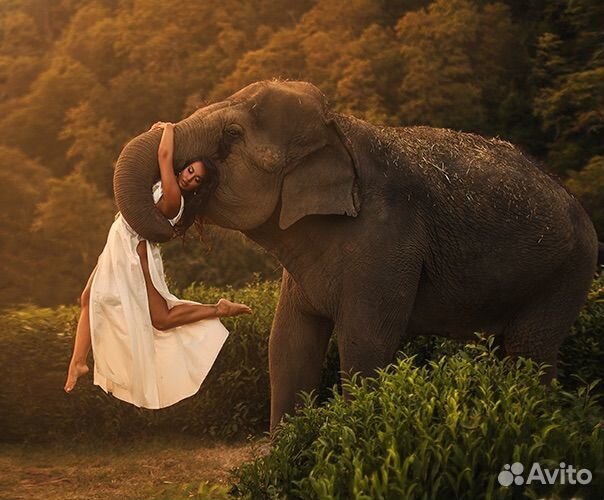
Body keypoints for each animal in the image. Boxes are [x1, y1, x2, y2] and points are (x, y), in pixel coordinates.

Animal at [112, 80, 600, 432]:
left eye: (232, 136)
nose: (175, 204)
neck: (339, 128)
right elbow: (287, 343)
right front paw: (287, 451)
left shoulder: (388, 242)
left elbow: (365, 343)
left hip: (568, 274)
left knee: (530, 351)